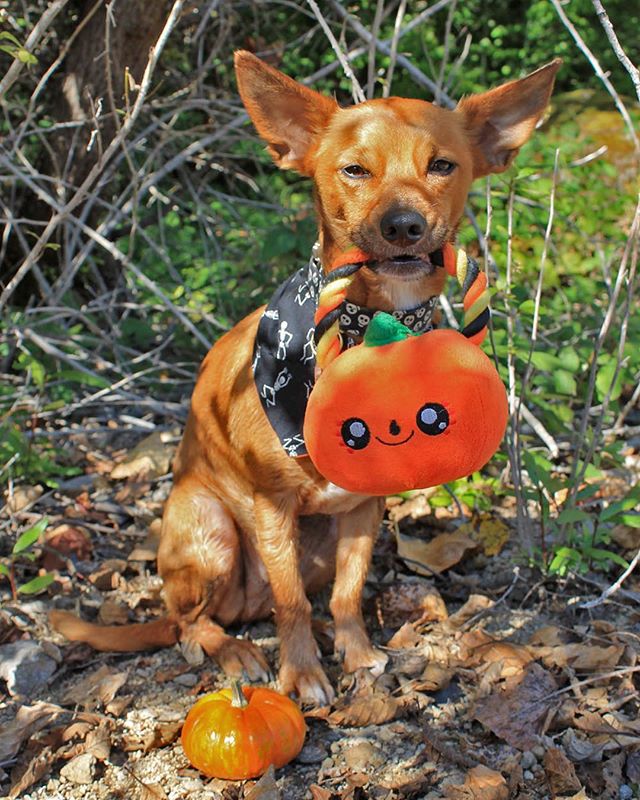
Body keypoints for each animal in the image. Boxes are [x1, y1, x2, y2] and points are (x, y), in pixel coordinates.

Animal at [51, 51, 560, 708]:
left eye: (442, 166)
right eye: (355, 170)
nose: (403, 226)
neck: (371, 329)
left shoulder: (364, 510)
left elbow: (346, 593)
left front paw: (358, 654)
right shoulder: (272, 506)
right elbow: (291, 603)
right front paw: (302, 675)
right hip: (211, 530)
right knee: (194, 622)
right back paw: (236, 651)